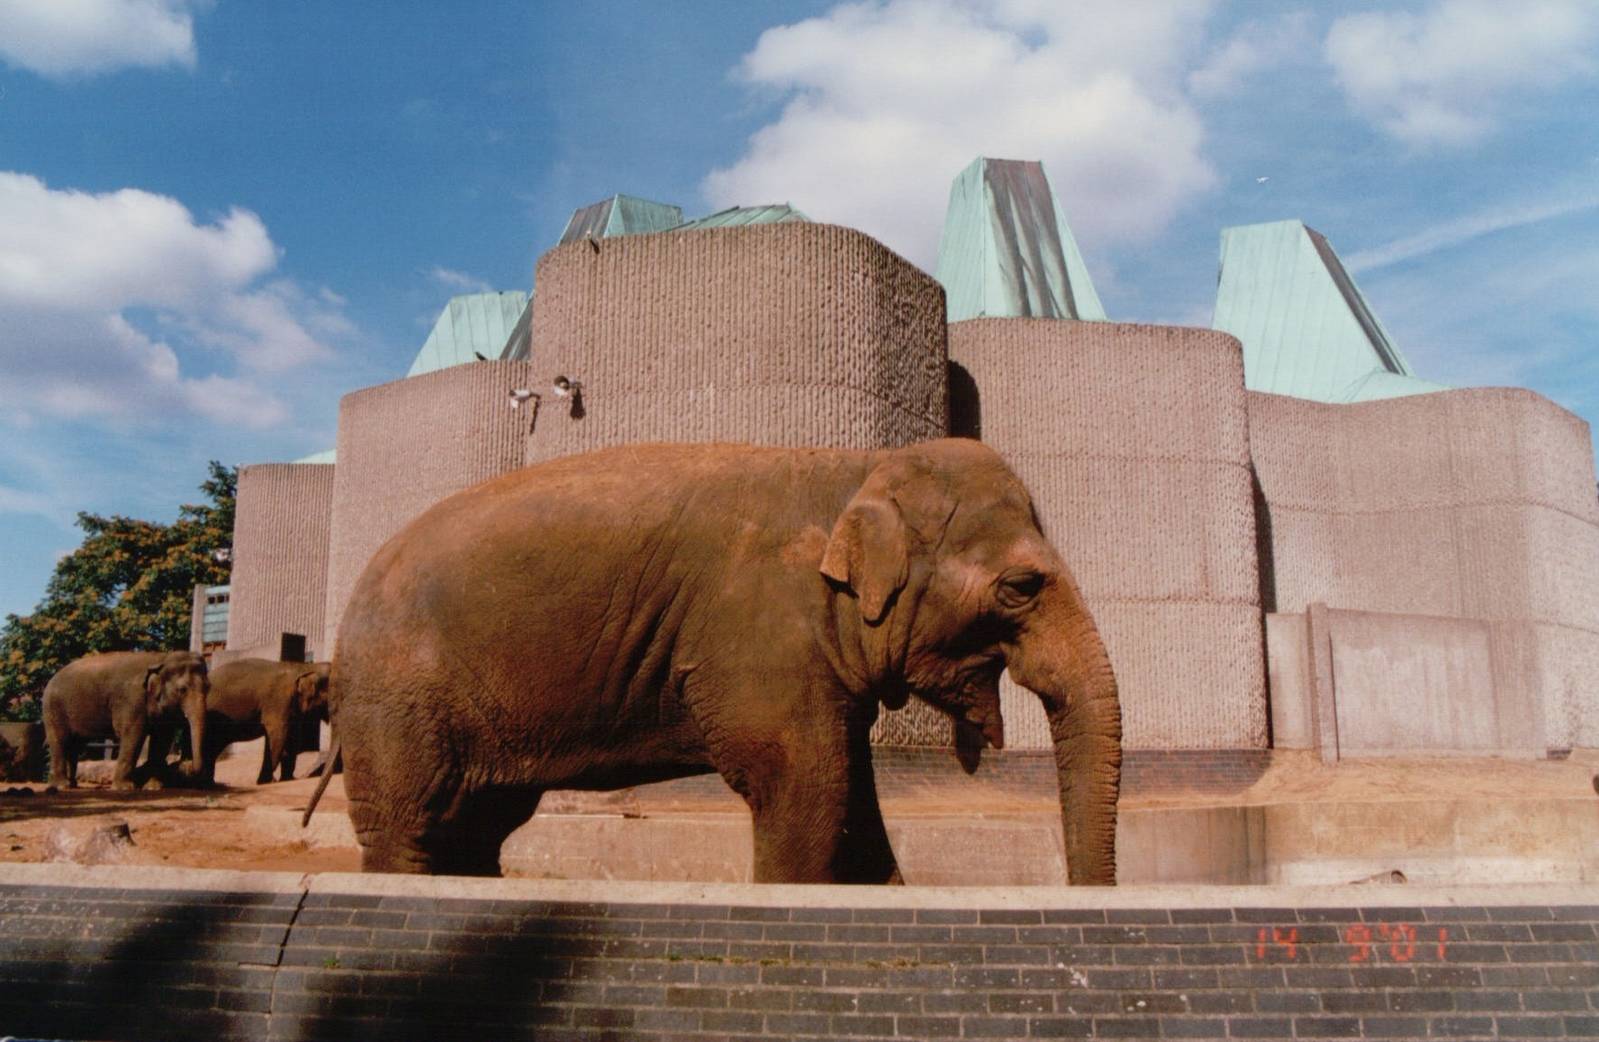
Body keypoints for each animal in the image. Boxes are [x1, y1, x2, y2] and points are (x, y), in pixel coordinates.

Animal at [42, 650, 209, 790]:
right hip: (53, 708)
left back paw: (72, 784)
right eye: (182, 690)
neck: (161, 658)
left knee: (75, 745)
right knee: (60, 740)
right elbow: (134, 735)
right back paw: (61, 786)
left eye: (208, 688)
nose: (186, 766)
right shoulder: (132, 700)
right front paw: (124, 788)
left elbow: (162, 740)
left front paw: (154, 787)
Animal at [200, 658, 330, 784]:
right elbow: (277, 735)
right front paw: (267, 781)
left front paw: (288, 779)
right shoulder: (278, 702)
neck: (303, 667)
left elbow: (291, 738)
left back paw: (210, 783)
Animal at [307, 439, 1121, 883]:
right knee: (409, 826)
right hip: (397, 697)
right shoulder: (764, 634)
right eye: (1020, 588)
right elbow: (803, 793)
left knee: (475, 829)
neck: (858, 469)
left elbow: (850, 803)